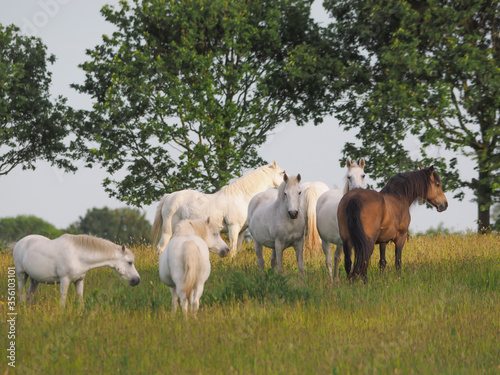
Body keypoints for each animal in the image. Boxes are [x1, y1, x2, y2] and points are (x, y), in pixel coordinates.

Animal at [12, 235, 141, 308]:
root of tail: (19, 243)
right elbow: (62, 302)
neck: (78, 255)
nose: (137, 280)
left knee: (29, 296)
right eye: (130, 262)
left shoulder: (79, 281)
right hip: (21, 275)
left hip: (35, 280)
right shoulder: (65, 280)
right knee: (22, 294)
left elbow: (80, 301)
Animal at [151, 160, 286, 258]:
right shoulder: (233, 227)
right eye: (282, 173)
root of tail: (169, 196)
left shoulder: (242, 231)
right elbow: (233, 248)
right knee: (160, 248)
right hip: (168, 230)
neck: (242, 196)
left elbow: (238, 249)